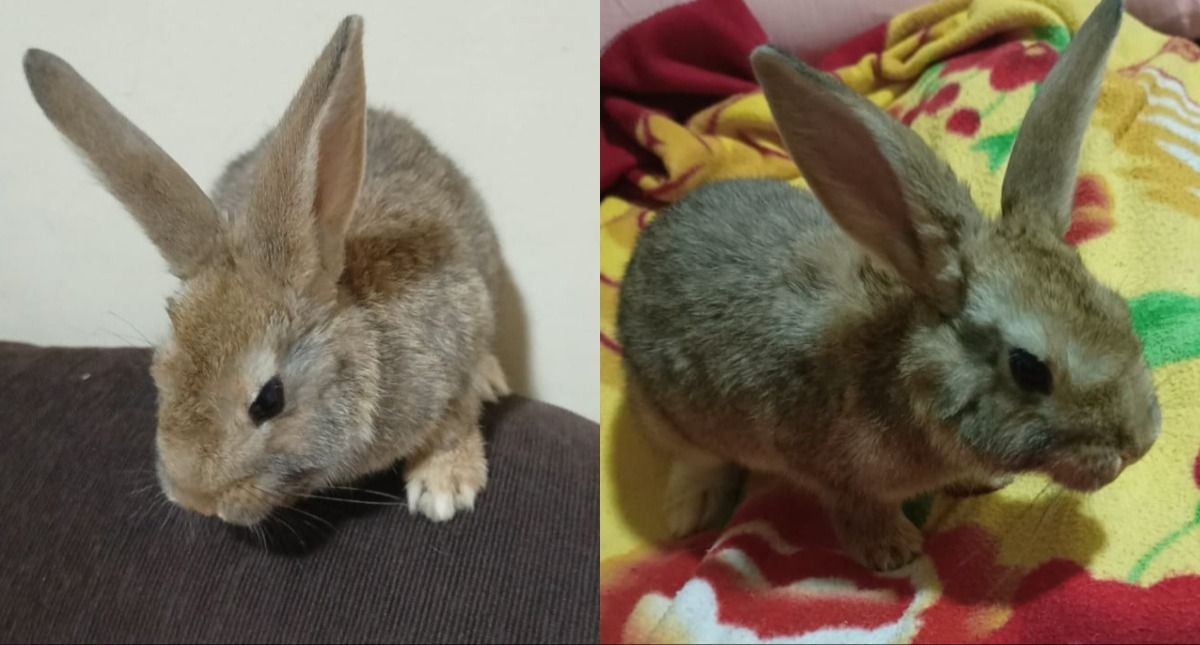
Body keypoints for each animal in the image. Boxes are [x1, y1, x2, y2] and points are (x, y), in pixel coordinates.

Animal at [22, 16, 510, 526]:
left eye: (269, 400)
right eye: (160, 370)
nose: (193, 498)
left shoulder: (459, 336)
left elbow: (455, 421)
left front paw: (445, 489)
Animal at [616, 0, 1162, 572]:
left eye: (1120, 310)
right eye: (1028, 369)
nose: (1142, 442)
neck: (904, 371)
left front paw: (987, 480)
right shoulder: (835, 474)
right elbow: (858, 511)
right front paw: (893, 552)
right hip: (667, 412)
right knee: (692, 458)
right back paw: (691, 510)